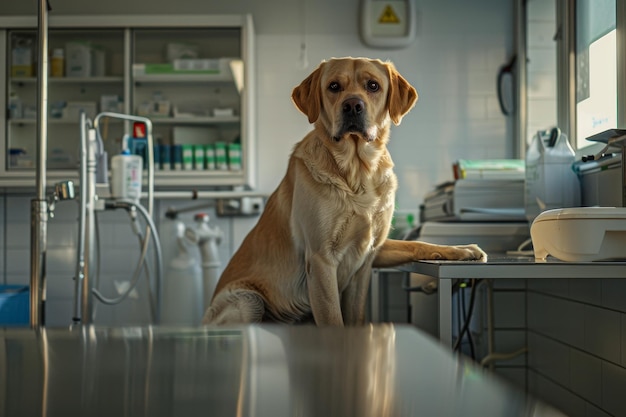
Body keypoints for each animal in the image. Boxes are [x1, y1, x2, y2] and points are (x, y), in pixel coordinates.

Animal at [202, 57, 486, 324]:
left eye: (373, 85)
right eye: (334, 87)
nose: (352, 106)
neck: (358, 173)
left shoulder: (370, 255)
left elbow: (417, 244)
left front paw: (463, 250)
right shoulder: (321, 261)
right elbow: (333, 320)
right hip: (249, 301)